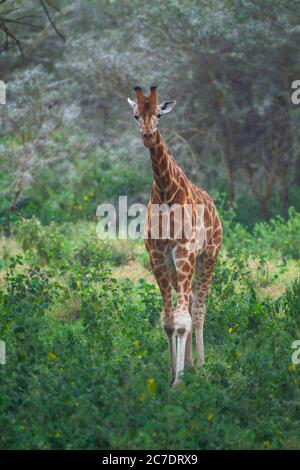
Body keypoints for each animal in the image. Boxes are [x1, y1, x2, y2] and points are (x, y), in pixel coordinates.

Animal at [127, 86, 223, 388]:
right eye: (135, 115)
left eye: (159, 114)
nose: (147, 135)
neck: (165, 191)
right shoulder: (157, 255)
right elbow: (169, 320)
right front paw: (172, 372)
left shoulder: (185, 250)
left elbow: (182, 319)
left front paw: (178, 383)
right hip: (177, 263)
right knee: (190, 303)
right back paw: (191, 363)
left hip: (208, 256)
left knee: (199, 308)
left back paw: (201, 365)